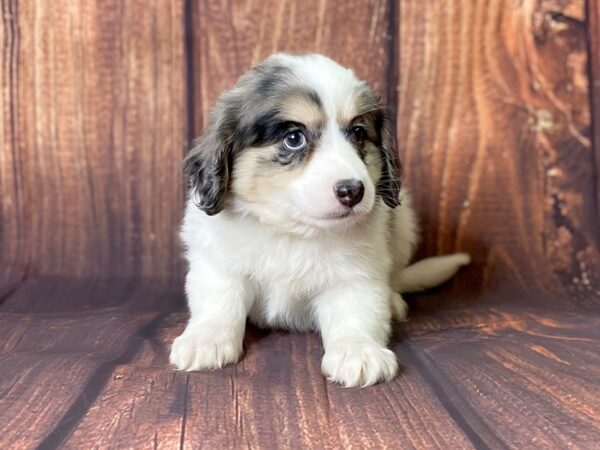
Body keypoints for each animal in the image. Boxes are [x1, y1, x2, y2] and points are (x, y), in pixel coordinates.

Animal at [169, 51, 468, 384]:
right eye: (294, 138)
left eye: (358, 132)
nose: (353, 191)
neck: (293, 232)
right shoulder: (218, 264)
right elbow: (219, 302)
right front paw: (205, 339)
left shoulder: (356, 275)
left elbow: (355, 313)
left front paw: (358, 351)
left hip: (404, 222)